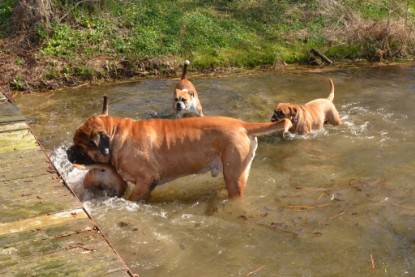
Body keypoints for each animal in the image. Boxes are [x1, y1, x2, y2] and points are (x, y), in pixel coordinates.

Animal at [66, 97, 292, 201]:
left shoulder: (146, 179)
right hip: (237, 171)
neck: (117, 135)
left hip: (233, 173)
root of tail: (242, 124)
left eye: (79, 144)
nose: (68, 151)